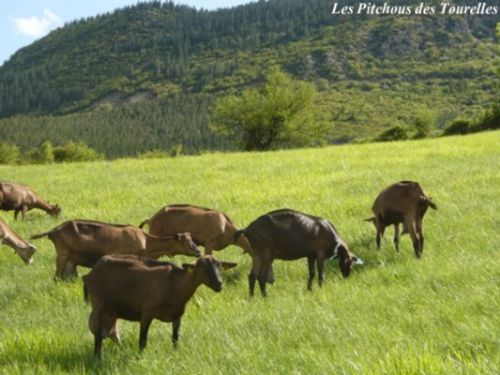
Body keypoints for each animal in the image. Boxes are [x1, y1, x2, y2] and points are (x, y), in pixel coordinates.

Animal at [29, 220, 199, 280]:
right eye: (187, 241)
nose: (198, 251)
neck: (145, 241)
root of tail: (53, 230)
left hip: (71, 260)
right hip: (62, 255)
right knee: (56, 277)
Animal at [83, 256, 236, 358]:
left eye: (220, 267)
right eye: (202, 268)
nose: (219, 284)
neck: (174, 284)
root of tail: (91, 272)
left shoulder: (177, 316)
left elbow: (175, 338)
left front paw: (175, 354)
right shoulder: (147, 313)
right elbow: (143, 340)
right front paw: (140, 358)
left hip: (112, 312)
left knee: (112, 333)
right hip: (98, 305)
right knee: (98, 335)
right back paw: (98, 357)